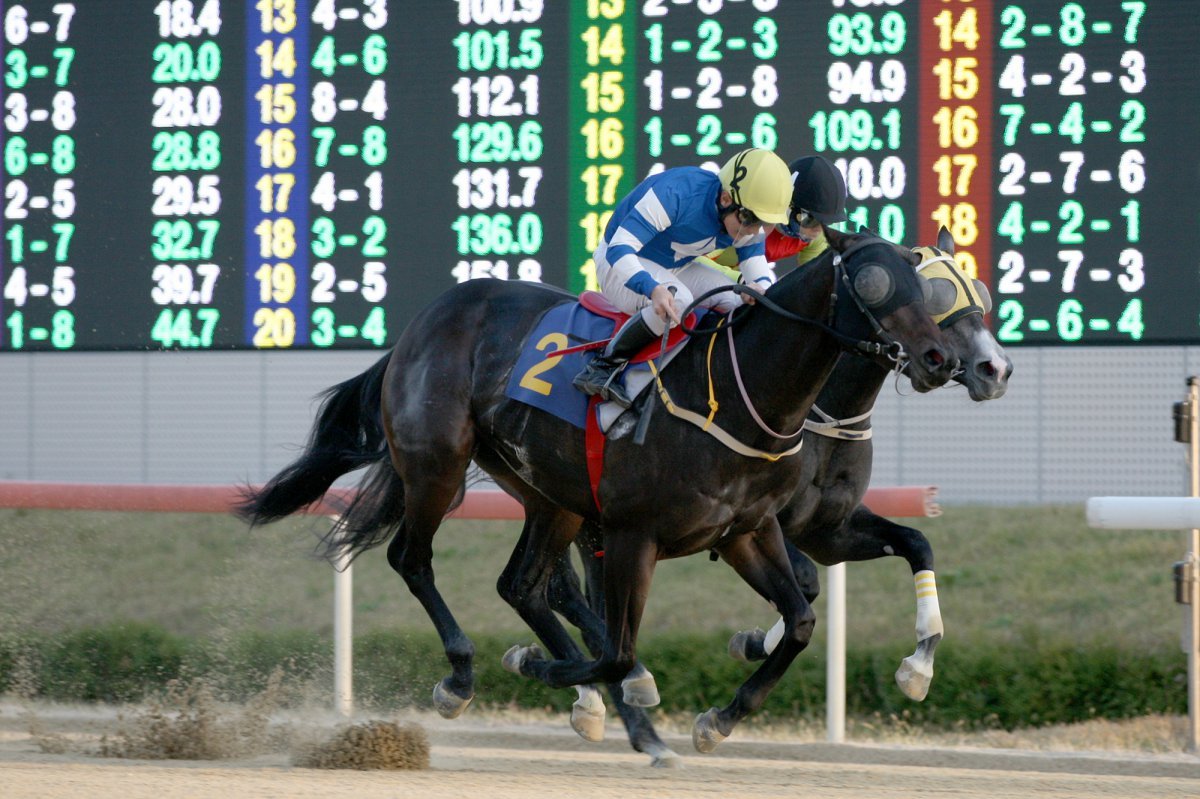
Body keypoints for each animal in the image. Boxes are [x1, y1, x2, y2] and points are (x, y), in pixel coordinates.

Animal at [236, 226, 955, 748]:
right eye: (875, 284)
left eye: (926, 285)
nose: (940, 358)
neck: (744, 391)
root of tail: (425, 320)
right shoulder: (636, 534)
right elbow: (615, 649)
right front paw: (540, 667)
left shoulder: (747, 529)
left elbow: (801, 619)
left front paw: (719, 717)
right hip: (438, 463)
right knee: (413, 559)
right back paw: (465, 676)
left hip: (547, 494)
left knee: (522, 585)